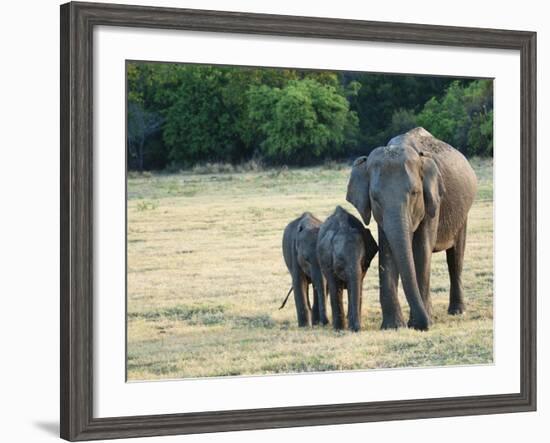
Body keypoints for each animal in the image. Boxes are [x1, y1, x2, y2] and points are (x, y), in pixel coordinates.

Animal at [344, 126, 478, 332]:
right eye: (374, 197)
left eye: (415, 193)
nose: (425, 325)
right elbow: (387, 252)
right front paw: (393, 327)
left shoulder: (433, 202)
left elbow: (421, 251)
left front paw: (419, 323)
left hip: (463, 213)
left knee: (455, 257)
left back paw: (457, 311)